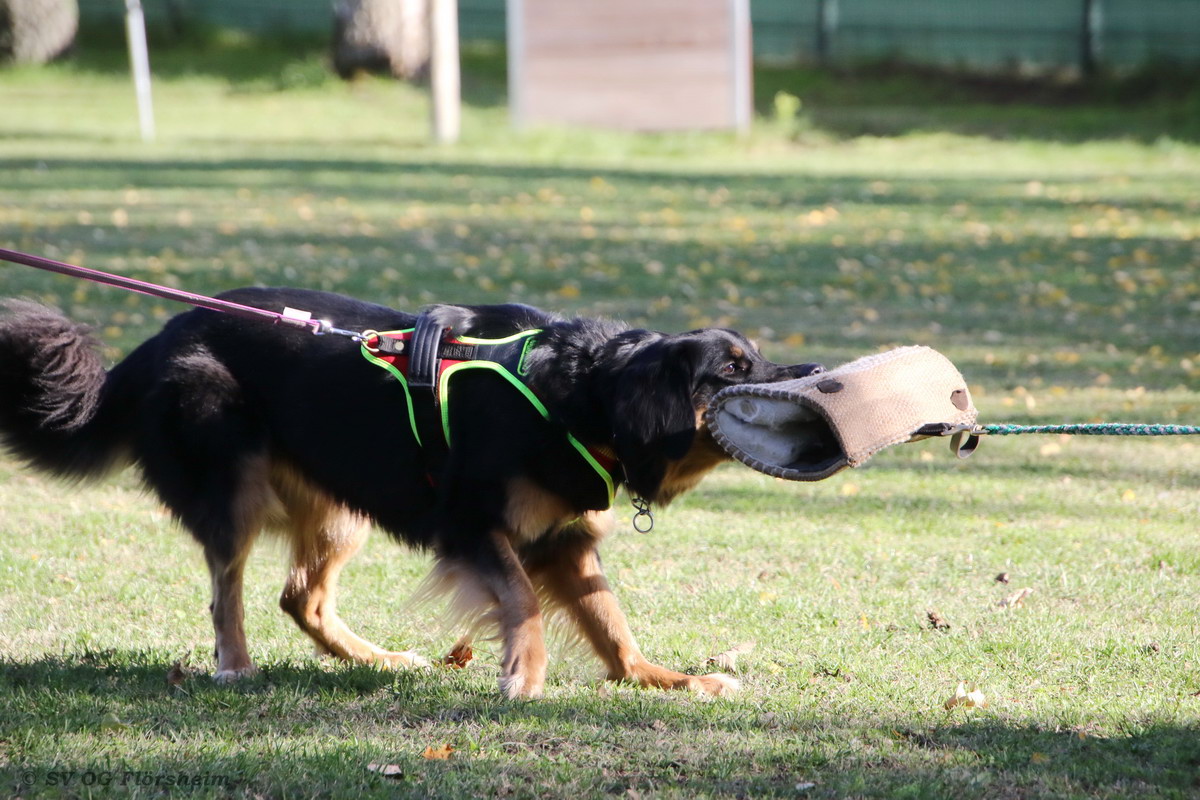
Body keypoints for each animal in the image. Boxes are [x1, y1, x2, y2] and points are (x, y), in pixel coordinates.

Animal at [0, 289, 816, 700]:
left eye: (757, 356)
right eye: (730, 368)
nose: (810, 370)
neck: (586, 391)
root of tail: (159, 335)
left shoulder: (565, 538)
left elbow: (609, 620)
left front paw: (659, 678)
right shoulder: (472, 523)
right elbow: (522, 601)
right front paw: (524, 676)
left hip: (339, 505)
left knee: (300, 596)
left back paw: (378, 660)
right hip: (235, 484)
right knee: (227, 589)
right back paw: (235, 665)